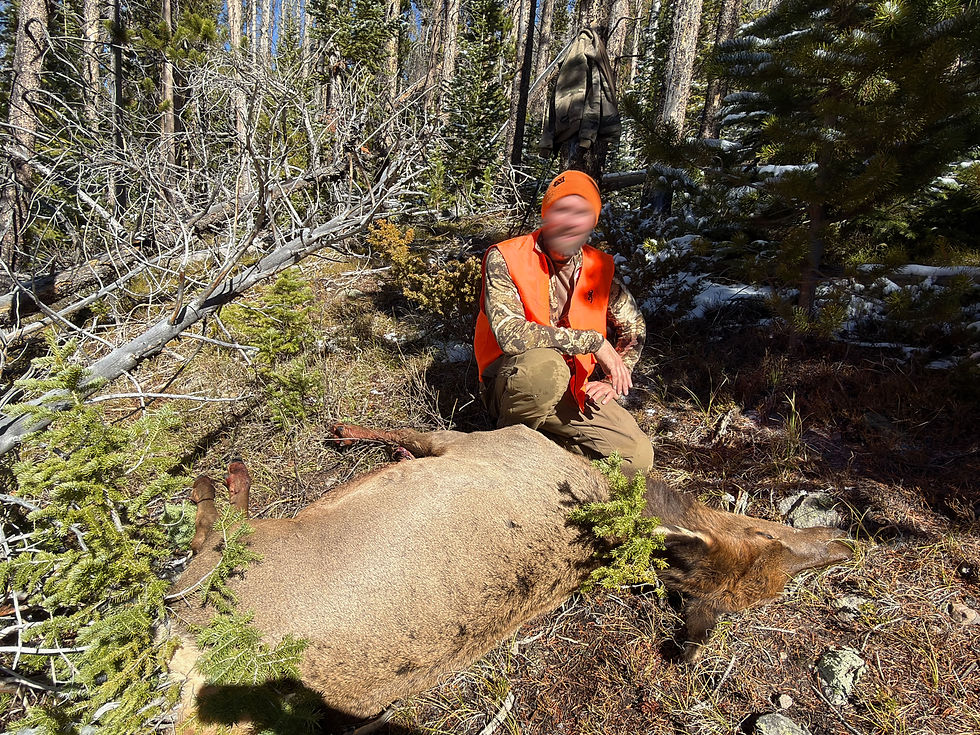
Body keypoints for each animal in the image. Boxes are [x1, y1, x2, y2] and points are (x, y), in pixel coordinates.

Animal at [166, 422, 852, 730]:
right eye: (766, 535)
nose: (837, 543)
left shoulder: (479, 439)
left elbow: (406, 430)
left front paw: (353, 431)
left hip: (238, 565)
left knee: (210, 542)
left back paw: (222, 479)